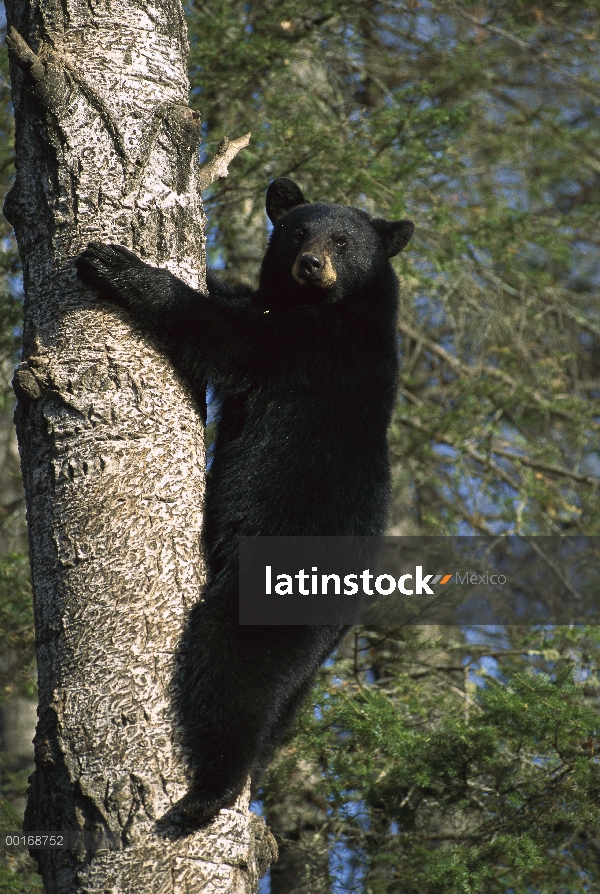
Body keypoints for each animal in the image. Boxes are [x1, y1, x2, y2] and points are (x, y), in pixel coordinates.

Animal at [75, 178, 412, 824]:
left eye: (343, 240)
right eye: (298, 231)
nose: (311, 264)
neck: (331, 305)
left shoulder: (315, 348)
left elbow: (225, 338)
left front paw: (116, 264)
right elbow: (232, 305)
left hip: (276, 583)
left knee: (234, 669)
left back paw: (206, 796)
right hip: (307, 667)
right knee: (280, 709)